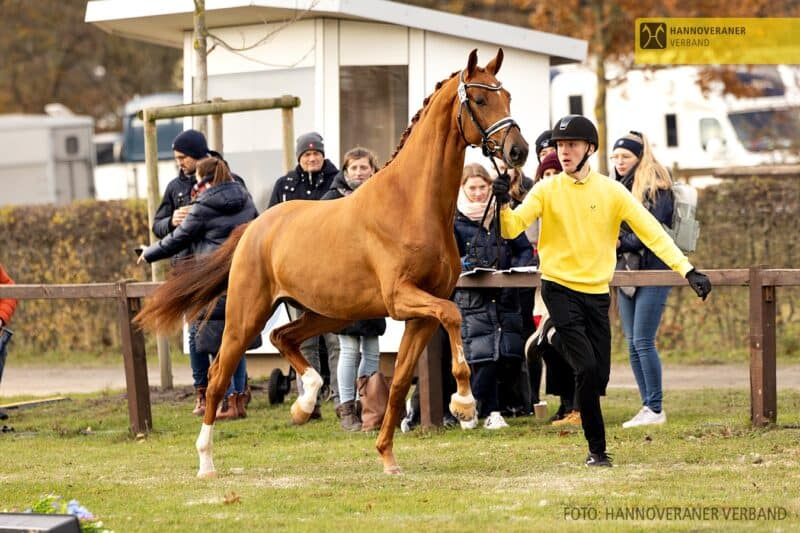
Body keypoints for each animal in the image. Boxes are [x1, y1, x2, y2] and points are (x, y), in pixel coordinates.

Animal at [134, 47, 528, 476]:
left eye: (508, 96)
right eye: (480, 99)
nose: (518, 151)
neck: (411, 204)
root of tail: (254, 227)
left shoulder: (421, 315)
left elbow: (400, 383)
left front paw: (387, 456)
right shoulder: (402, 299)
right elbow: (455, 317)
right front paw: (465, 405)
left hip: (327, 313)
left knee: (282, 338)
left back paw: (304, 403)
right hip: (246, 314)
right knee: (220, 372)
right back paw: (207, 461)